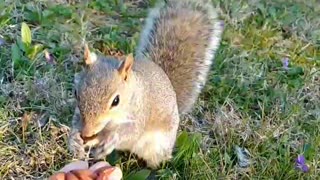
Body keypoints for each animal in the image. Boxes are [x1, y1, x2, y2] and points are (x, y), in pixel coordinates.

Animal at [68, 0, 222, 169]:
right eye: (76, 93)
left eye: (116, 101)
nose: (86, 133)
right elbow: (75, 121)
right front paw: (74, 140)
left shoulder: (141, 114)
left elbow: (130, 133)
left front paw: (109, 140)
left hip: (158, 147)